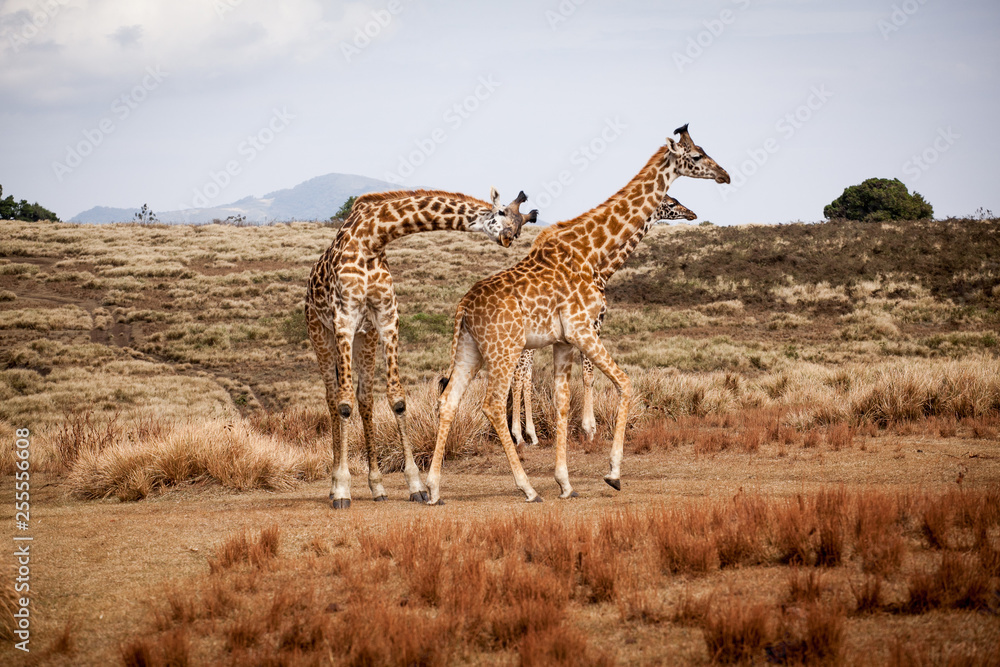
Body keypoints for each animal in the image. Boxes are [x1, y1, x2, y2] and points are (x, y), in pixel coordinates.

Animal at [306, 187, 536, 509]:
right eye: (502, 213)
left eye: (519, 226)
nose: (508, 237)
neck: (371, 239)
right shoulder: (344, 318)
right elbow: (343, 403)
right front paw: (341, 489)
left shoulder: (386, 318)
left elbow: (397, 399)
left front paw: (416, 485)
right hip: (320, 333)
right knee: (332, 398)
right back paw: (333, 486)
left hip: (366, 337)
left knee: (365, 399)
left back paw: (377, 486)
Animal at [508, 194, 698, 451]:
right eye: (671, 203)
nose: (692, 213)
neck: (602, 270)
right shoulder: (592, 325)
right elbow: (588, 374)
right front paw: (589, 429)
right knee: (520, 375)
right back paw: (520, 436)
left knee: (522, 374)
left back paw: (527, 435)